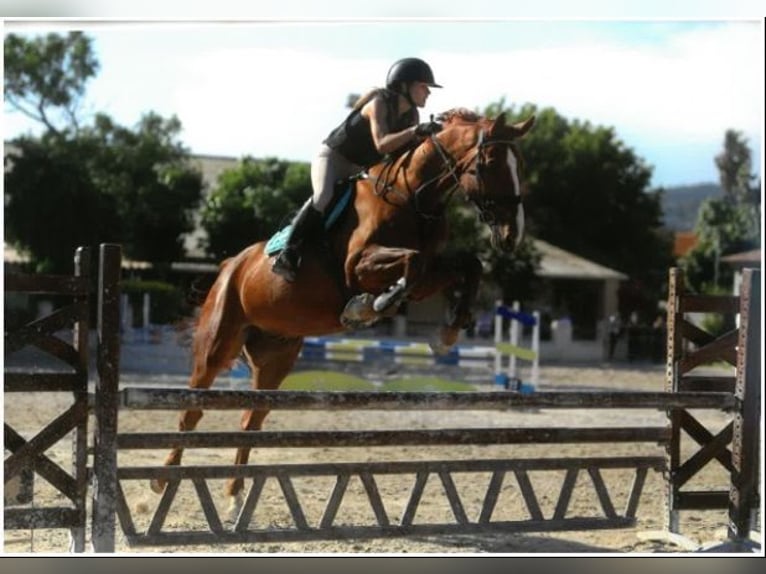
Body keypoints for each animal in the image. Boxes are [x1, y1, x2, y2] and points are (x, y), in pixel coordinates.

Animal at [148, 108, 536, 512]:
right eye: (489, 163)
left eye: (520, 165)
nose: (512, 234)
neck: (412, 197)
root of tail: (231, 265)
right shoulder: (358, 267)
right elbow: (410, 264)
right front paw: (369, 307)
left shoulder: (430, 273)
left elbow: (465, 265)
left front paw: (450, 329)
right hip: (218, 343)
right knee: (191, 410)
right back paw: (161, 483)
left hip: (275, 358)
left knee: (250, 419)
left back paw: (236, 495)